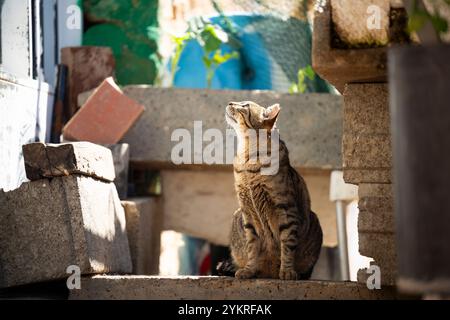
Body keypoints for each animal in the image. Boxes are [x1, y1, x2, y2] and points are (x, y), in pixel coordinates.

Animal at [222, 100, 324, 280]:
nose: (230, 102)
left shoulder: (285, 208)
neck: (248, 158)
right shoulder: (247, 213)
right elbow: (252, 247)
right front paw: (249, 270)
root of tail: (268, 274)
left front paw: (287, 271)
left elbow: (287, 243)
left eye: (245, 105)